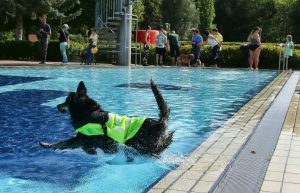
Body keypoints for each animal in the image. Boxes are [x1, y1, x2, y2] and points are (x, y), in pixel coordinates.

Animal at [40, 79, 176, 159]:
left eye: (66, 101)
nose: (57, 106)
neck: (89, 113)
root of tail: (160, 123)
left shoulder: (82, 139)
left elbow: (62, 143)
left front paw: (47, 145)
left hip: (141, 145)